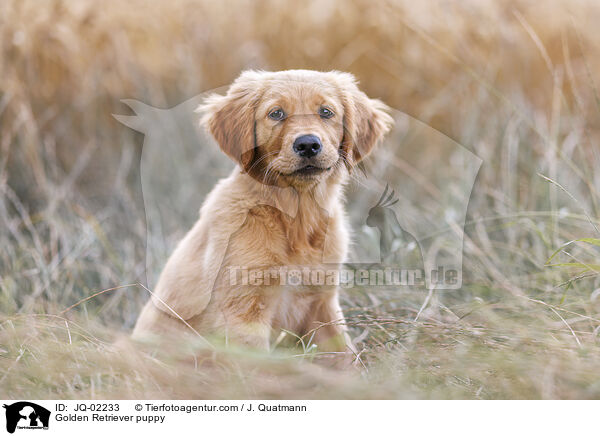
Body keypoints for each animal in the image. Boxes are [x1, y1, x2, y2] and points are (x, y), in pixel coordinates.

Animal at [132, 70, 394, 360]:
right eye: (276, 113)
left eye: (326, 112)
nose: (308, 144)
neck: (296, 214)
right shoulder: (244, 309)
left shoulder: (323, 302)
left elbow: (343, 354)